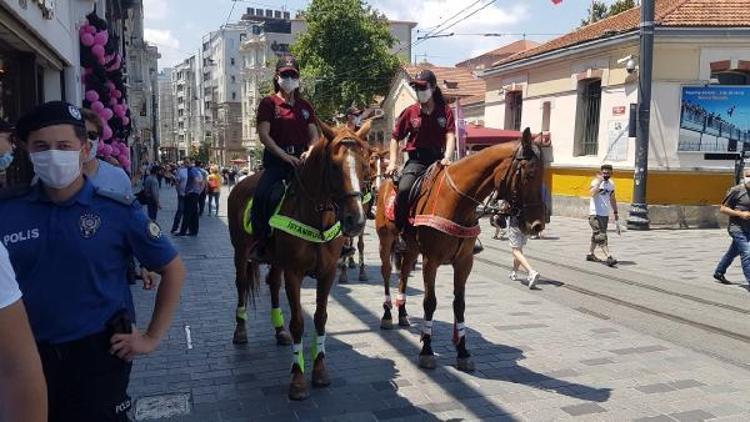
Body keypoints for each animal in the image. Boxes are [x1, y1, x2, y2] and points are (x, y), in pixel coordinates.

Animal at [228, 121, 372, 398]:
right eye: (334, 166)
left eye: (365, 164)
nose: (356, 220)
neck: (315, 218)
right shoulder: (294, 273)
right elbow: (298, 322)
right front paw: (297, 378)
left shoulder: (327, 274)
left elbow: (320, 318)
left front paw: (320, 369)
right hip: (240, 252)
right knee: (241, 285)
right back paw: (240, 330)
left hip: (275, 260)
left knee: (273, 284)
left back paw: (278, 330)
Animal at [338, 148, 390, 284]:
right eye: (370, 164)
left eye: (384, 166)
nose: (377, 188)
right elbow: (345, 240)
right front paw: (343, 274)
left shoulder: (363, 217)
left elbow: (360, 244)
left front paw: (362, 273)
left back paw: (350, 261)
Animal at [376, 128, 548, 370]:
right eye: (528, 174)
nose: (538, 225)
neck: (456, 202)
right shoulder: (431, 261)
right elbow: (430, 302)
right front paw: (427, 349)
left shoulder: (464, 261)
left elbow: (460, 305)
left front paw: (463, 351)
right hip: (386, 242)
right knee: (386, 274)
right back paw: (388, 315)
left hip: (410, 249)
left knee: (403, 276)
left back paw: (402, 314)